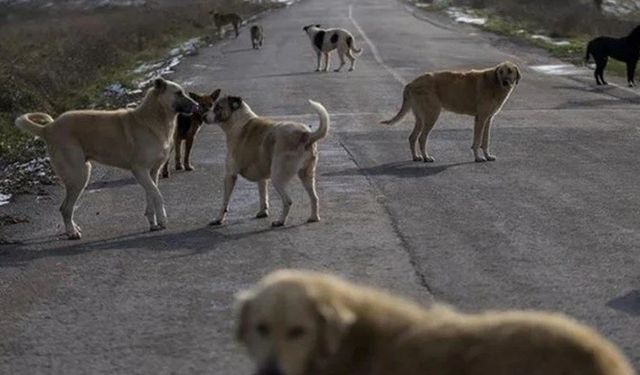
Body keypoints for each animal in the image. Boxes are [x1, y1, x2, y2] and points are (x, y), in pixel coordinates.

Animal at [16, 78, 199, 241]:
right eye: (178, 93)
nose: (197, 106)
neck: (153, 118)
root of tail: (48, 128)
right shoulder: (140, 171)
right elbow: (158, 195)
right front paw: (162, 219)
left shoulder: (152, 172)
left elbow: (151, 196)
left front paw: (153, 222)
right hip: (79, 176)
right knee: (65, 208)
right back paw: (72, 233)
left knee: (66, 208)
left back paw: (73, 229)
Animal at [205, 95, 330, 228]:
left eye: (218, 107)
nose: (203, 116)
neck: (238, 121)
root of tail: (306, 134)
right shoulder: (261, 176)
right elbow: (263, 194)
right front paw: (263, 212)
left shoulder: (230, 175)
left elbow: (225, 202)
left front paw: (218, 219)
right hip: (306, 175)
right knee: (314, 198)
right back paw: (314, 217)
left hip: (278, 178)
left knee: (288, 201)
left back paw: (280, 221)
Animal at [382, 60, 524, 163]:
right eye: (500, 72)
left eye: (510, 71)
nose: (505, 82)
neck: (494, 83)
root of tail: (411, 83)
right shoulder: (481, 118)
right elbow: (477, 141)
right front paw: (478, 158)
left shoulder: (488, 119)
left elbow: (485, 141)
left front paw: (488, 156)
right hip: (432, 116)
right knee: (422, 138)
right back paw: (426, 157)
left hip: (421, 118)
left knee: (412, 137)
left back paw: (416, 157)